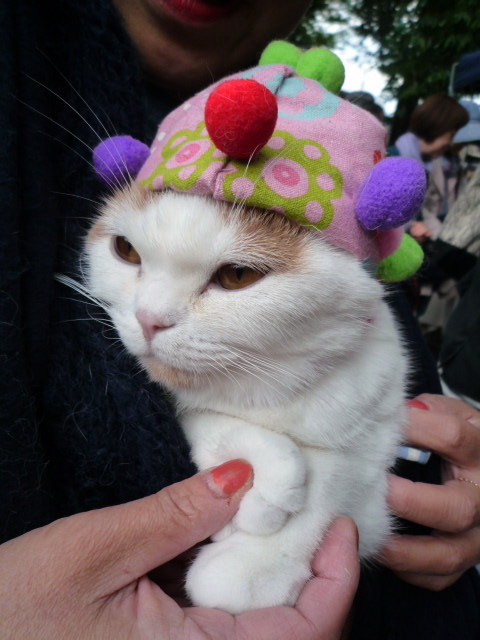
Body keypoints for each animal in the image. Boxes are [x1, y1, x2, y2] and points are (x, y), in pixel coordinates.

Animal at [84, 182, 406, 612]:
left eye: (237, 275)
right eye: (126, 250)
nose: (149, 319)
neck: (270, 387)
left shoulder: (379, 415)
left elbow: (337, 472)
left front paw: (257, 561)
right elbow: (202, 416)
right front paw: (268, 473)